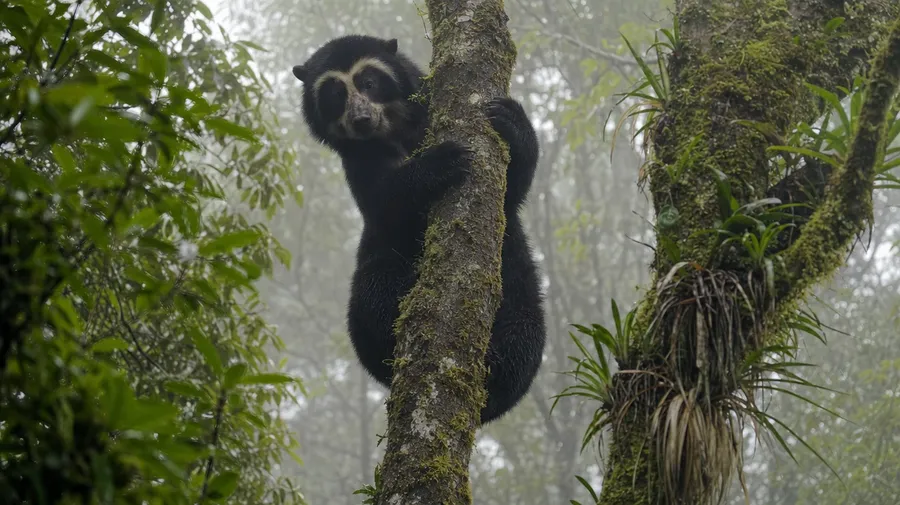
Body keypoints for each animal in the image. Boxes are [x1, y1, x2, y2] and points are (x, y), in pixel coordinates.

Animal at [292, 35, 546, 424]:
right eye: (335, 94)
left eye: (369, 82)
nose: (361, 119)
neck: (394, 131)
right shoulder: (359, 161)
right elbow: (385, 201)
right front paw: (442, 161)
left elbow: (512, 189)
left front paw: (510, 118)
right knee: (373, 296)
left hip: (515, 270)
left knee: (525, 331)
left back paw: (495, 370)